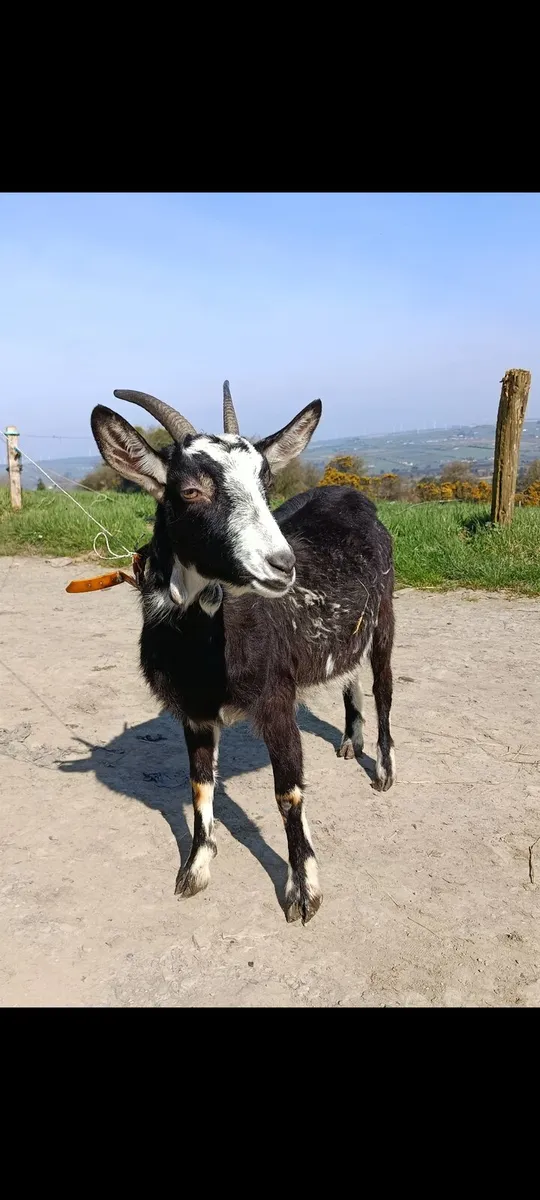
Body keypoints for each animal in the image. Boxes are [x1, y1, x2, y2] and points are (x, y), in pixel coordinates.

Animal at [91, 382, 395, 924]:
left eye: (265, 482)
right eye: (191, 490)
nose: (282, 565)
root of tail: (355, 497)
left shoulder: (276, 699)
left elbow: (288, 793)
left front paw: (304, 892)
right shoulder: (193, 713)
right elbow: (199, 786)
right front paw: (195, 870)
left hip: (384, 615)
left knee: (383, 685)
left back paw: (383, 769)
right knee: (348, 671)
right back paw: (350, 740)